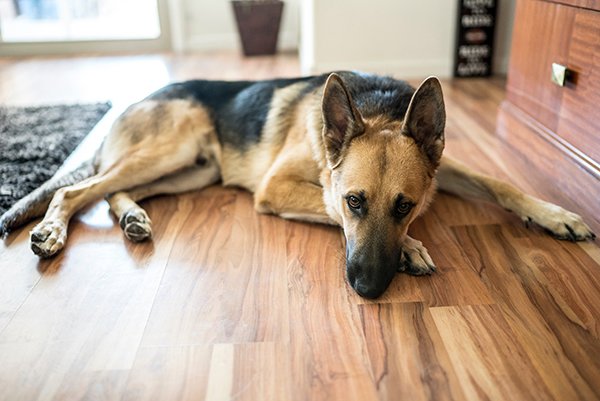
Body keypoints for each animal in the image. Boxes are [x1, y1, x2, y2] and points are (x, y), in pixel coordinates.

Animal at [0, 72, 592, 296]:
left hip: (191, 170)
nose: (368, 290)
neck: (378, 108)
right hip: (172, 150)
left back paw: (133, 218)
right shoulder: (276, 186)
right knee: (77, 191)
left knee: (109, 192)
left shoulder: (443, 170)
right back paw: (52, 231)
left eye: (405, 206)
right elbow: (324, 204)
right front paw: (412, 249)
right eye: (355, 202)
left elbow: (499, 183)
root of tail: (140, 95)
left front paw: (554, 214)